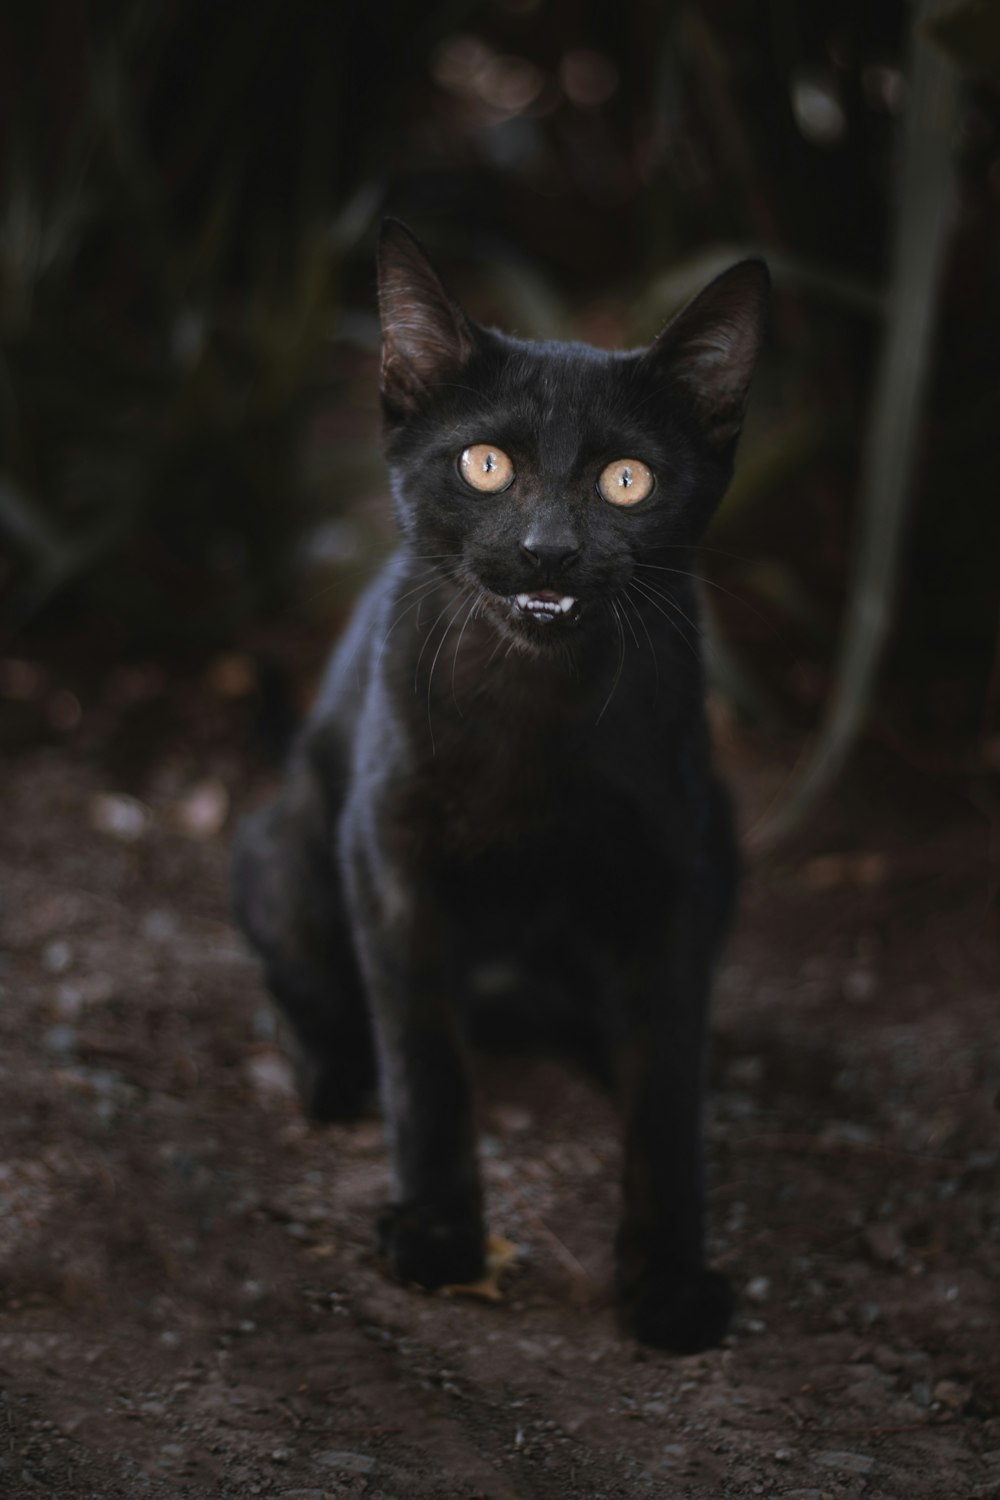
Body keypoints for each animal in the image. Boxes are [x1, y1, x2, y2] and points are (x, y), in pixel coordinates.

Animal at [232, 219, 767, 1350]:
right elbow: (425, 1056)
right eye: (485, 466)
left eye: (625, 481)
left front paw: (669, 1280)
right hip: (288, 841)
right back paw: (332, 1072)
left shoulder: (676, 872)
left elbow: (666, 1088)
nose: (546, 549)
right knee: (303, 979)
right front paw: (440, 1238)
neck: (539, 714)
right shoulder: (391, 851)